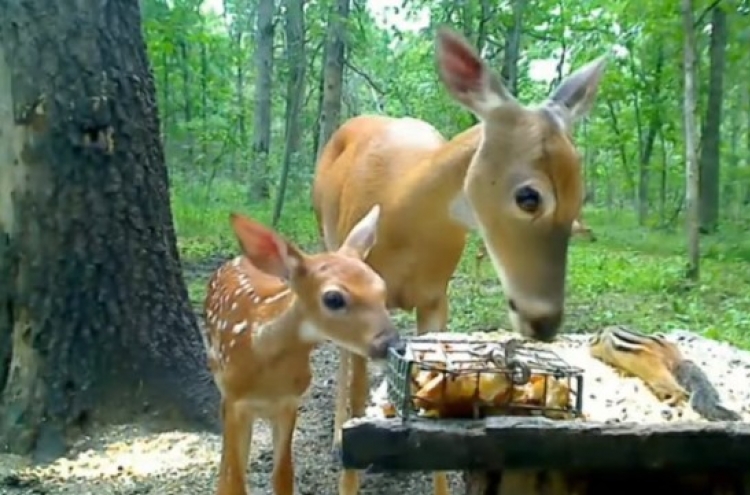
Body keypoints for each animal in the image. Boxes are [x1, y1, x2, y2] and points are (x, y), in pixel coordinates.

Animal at [203, 207, 402, 495]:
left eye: (382, 288)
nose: (393, 344)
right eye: (333, 298)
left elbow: (283, 476)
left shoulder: (290, 402)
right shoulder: (234, 399)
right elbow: (235, 481)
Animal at [312, 27, 612, 495]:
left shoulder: (437, 298)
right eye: (529, 196)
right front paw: (346, 449)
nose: (545, 322)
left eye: (580, 198)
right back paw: (336, 434)